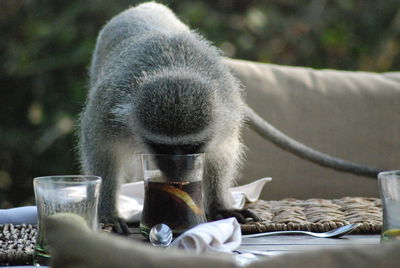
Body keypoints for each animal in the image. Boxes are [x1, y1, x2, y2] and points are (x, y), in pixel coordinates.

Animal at [79, 1, 382, 232]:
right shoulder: (108, 110)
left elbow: (221, 152)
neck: (173, 66)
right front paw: (109, 214)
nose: (177, 171)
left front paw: (220, 208)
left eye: (191, 147)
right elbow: (102, 151)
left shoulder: (223, 114)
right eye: (161, 147)